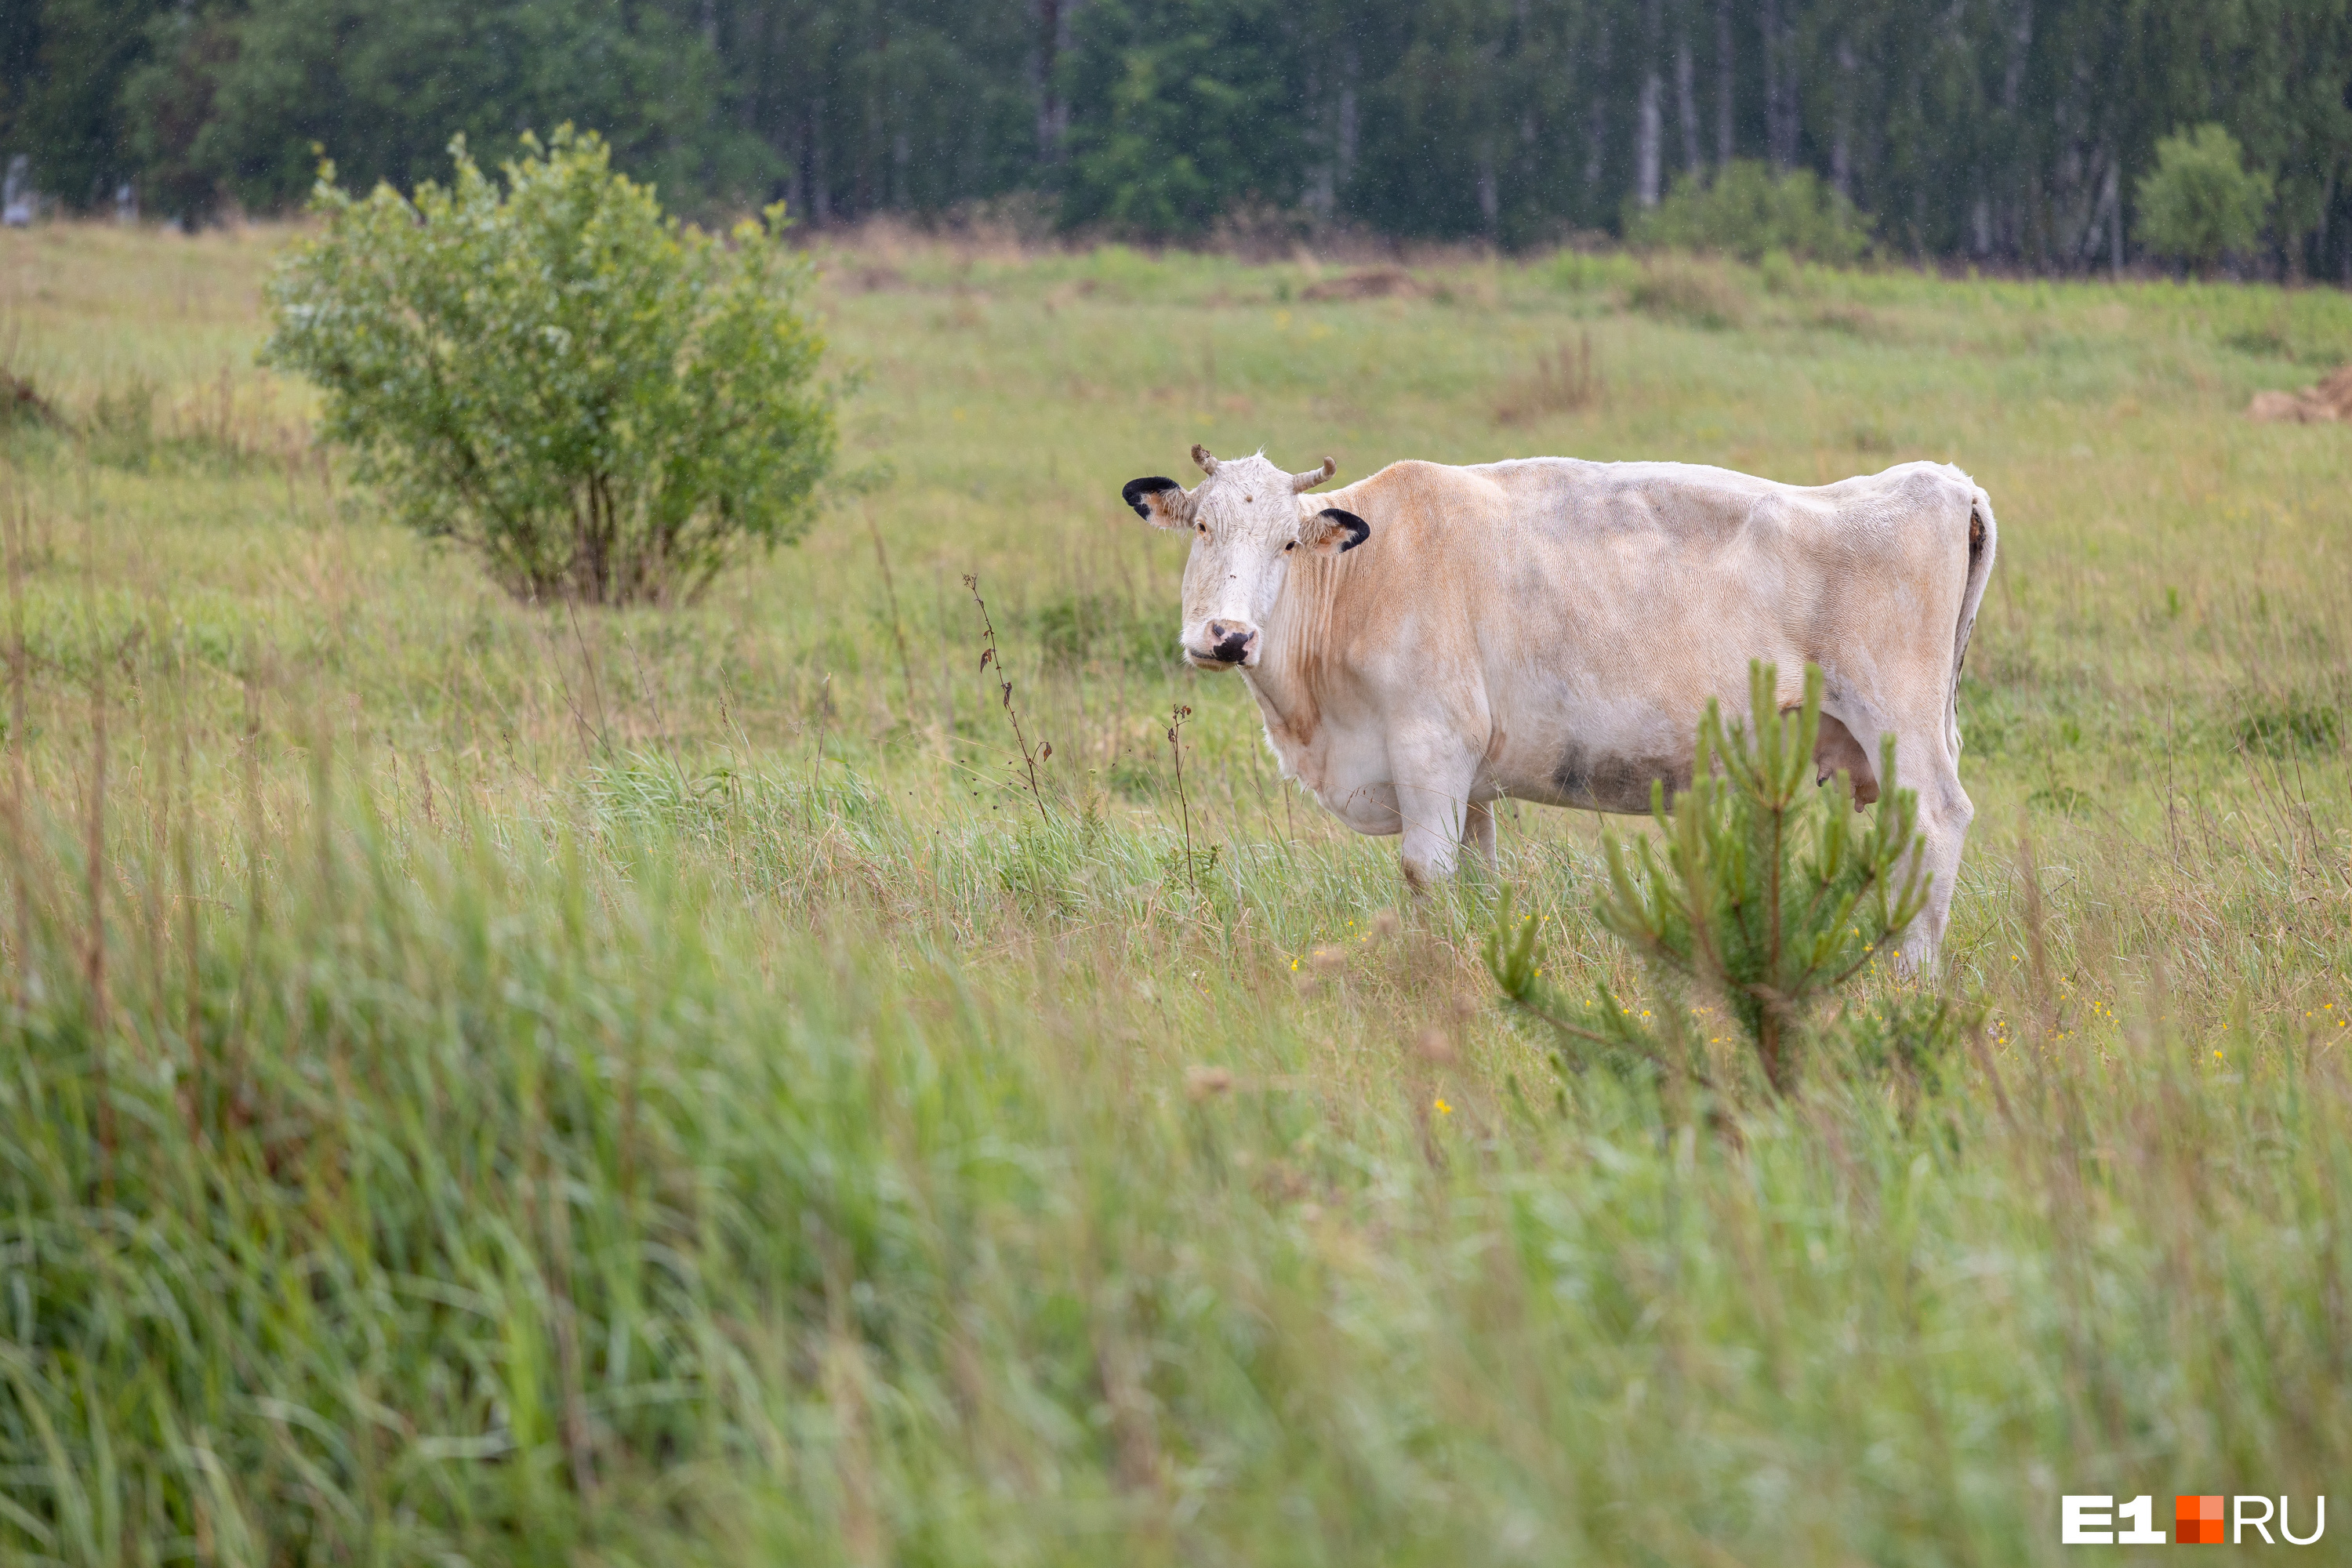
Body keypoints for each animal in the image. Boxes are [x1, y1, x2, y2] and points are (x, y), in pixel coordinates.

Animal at [1124, 444, 2004, 968]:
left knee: (1939, 821)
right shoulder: (1468, 781)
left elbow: (1423, 873)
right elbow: (1476, 878)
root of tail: (1939, 479)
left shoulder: (1428, 746)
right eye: (1202, 528)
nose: (1228, 636)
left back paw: (1911, 973)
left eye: (1286, 542)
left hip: (1901, 726)